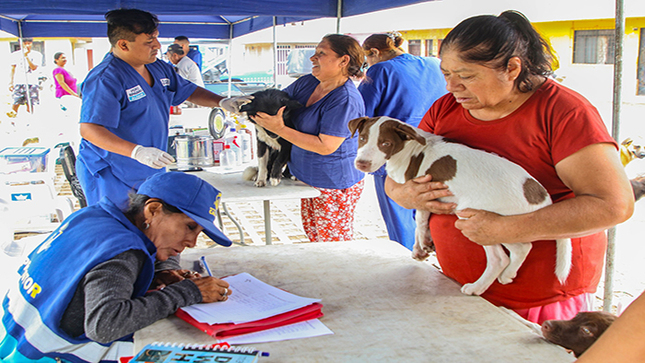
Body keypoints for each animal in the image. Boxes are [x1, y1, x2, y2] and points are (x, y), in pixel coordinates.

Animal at [350, 116, 572, 296]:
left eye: (385, 143)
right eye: (362, 138)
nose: (361, 164)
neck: (412, 149)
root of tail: (540, 196)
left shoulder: (421, 195)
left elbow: (420, 223)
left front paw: (420, 246)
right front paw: (423, 247)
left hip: (483, 220)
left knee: (509, 253)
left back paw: (483, 284)